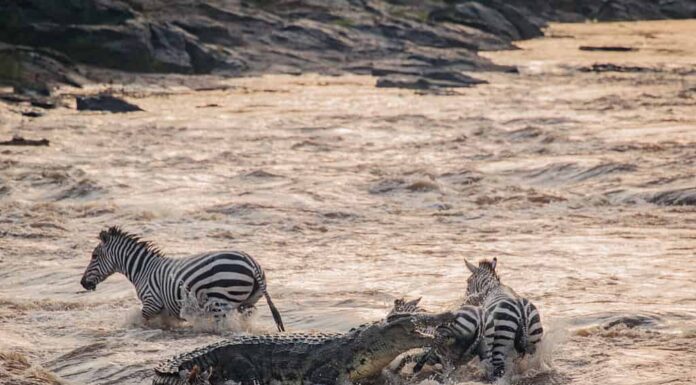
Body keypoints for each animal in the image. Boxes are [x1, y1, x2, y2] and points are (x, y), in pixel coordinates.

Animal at [81, 226, 286, 332]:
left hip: (221, 302)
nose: (83, 283)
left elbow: (140, 321)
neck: (143, 270)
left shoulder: (151, 302)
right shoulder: (166, 310)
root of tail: (250, 262)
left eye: (94, 256)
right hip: (248, 303)